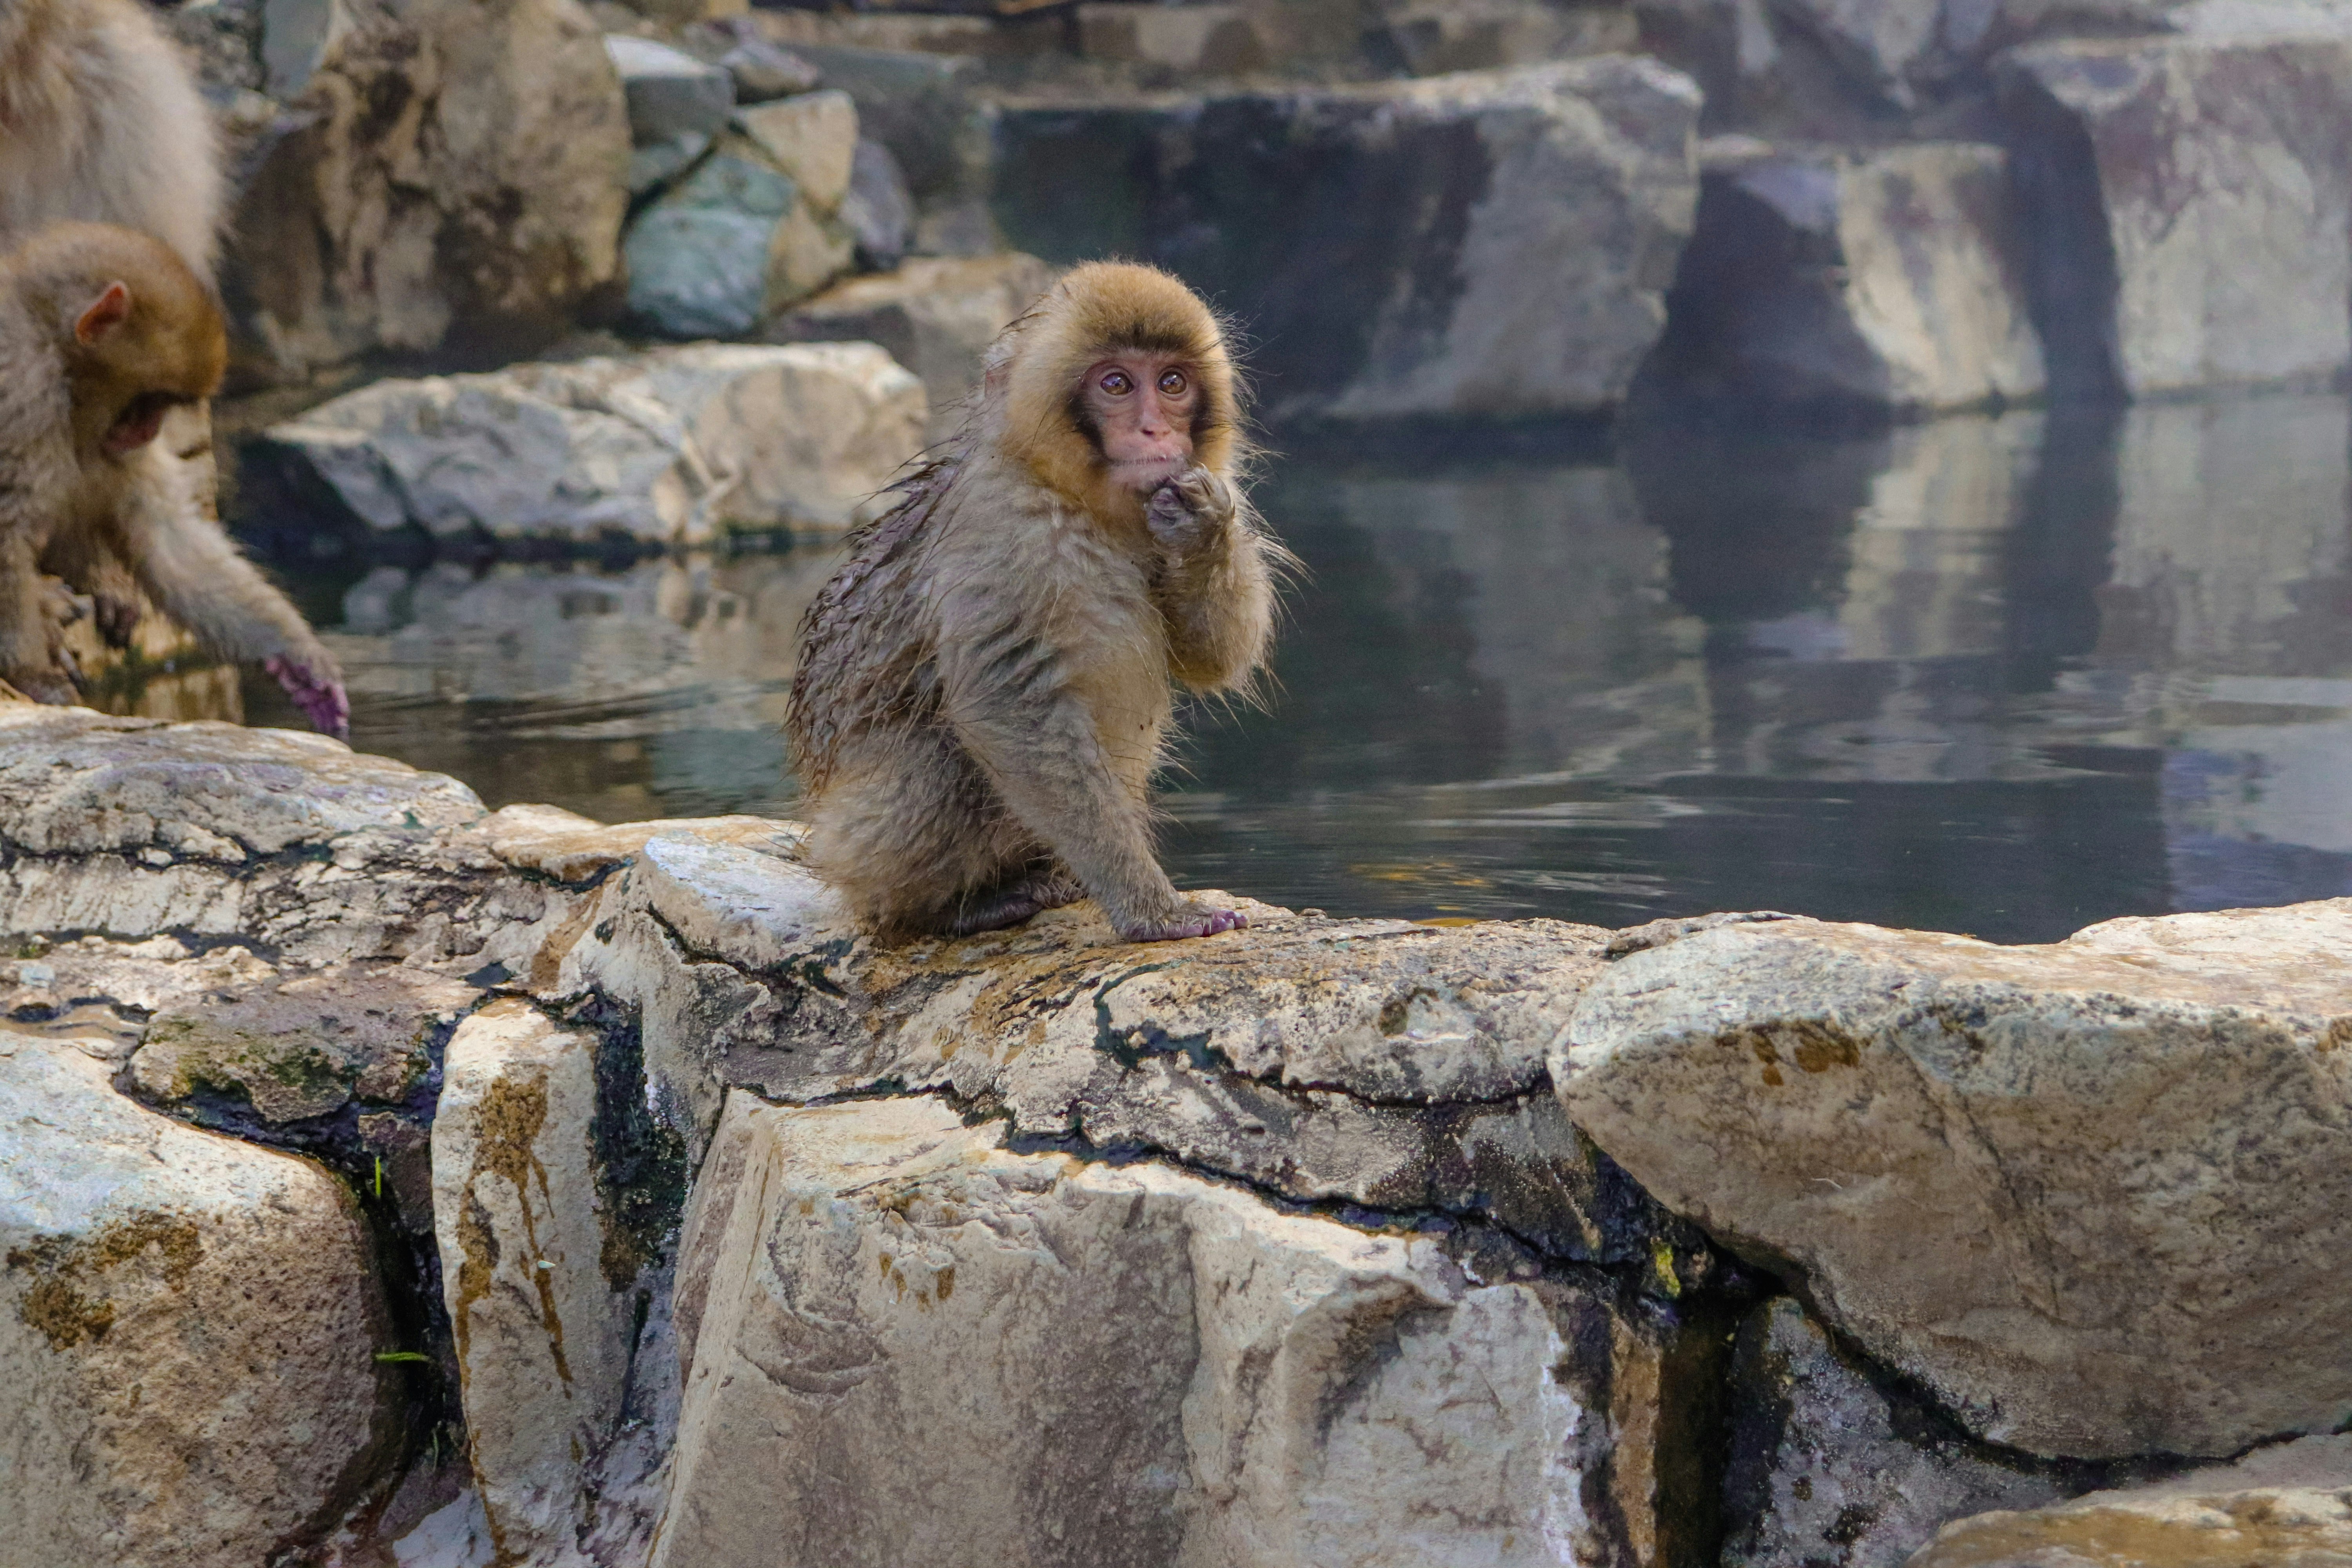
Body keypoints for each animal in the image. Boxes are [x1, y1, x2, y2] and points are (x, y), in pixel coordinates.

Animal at [0, 223, 348, 734]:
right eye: (149, 401)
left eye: (163, 405)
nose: (151, 430)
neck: (58, 363)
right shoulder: (24, 399)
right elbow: (6, 529)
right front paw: (31, 674)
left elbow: (168, 540)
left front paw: (296, 656)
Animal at [787, 261, 1284, 944]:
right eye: (1117, 384)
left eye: (1173, 382)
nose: (1155, 431)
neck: (1079, 498)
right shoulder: (1004, 529)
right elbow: (1014, 704)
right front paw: (1151, 908)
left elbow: (1211, 658)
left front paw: (1202, 528)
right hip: (857, 839)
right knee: (945, 762)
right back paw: (943, 908)